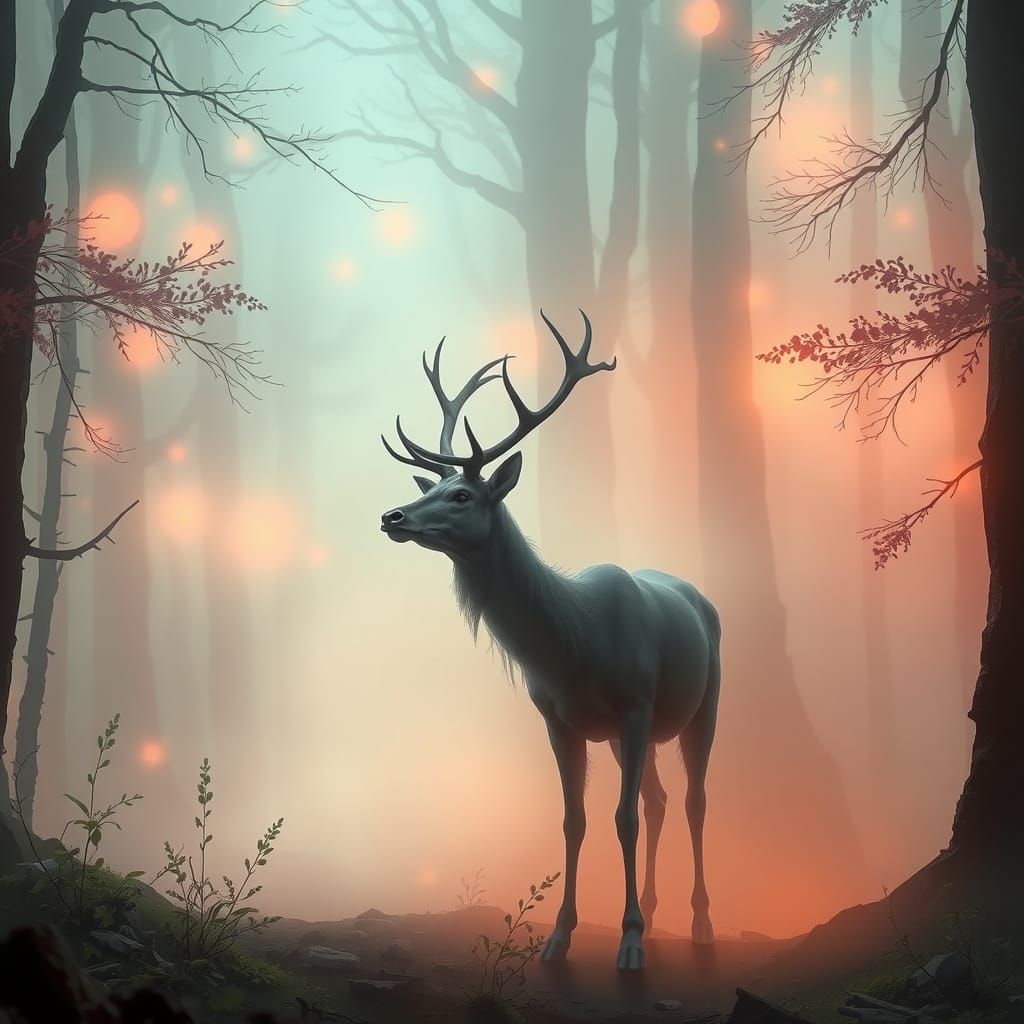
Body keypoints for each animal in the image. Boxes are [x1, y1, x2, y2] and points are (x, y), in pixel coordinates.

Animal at [379, 311, 720, 971]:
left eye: (462, 494)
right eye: (426, 490)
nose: (392, 516)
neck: (572, 650)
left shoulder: (636, 705)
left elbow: (621, 818)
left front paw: (629, 941)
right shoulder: (560, 719)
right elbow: (574, 820)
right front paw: (559, 938)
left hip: (704, 703)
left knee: (693, 801)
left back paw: (698, 923)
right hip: (626, 736)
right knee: (661, 799)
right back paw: (659, 911)